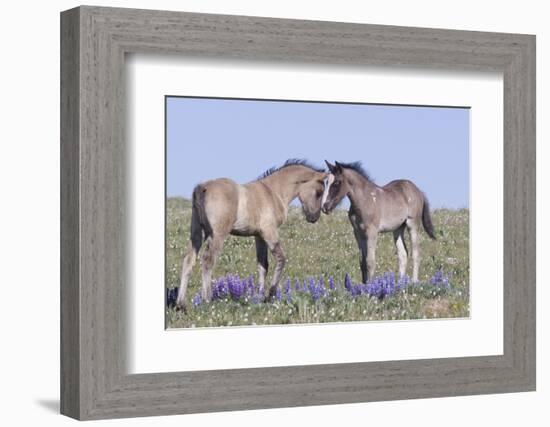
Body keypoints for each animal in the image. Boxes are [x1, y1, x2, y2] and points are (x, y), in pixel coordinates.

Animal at [177, 159, 330, 310]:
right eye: (319, 192)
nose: (314, 217)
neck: (273, 192)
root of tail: (203, 187)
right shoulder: (269, 231)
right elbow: (281, 259)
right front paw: (270, 294)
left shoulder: (259, 236)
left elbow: (263, 265)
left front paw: (259, 296)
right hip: (218, 235)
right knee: (208, 260)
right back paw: (207, 300)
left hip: (196, 232)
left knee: (188, 260)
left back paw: (180, 304)